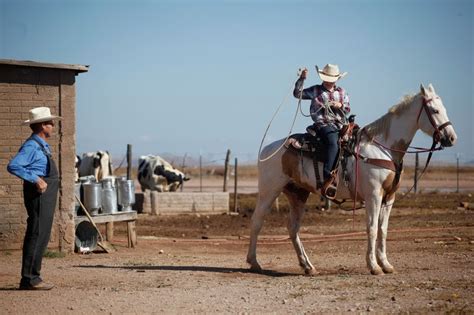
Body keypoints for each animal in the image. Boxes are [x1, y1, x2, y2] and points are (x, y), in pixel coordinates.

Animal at [246, 84, 458, 276]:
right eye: (435, 110)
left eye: (444, 108)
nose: (451, 138)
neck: (383, 149)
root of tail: (267, 149)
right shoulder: (373, 196)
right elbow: (372, 229)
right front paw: (373, 266)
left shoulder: (389, 197)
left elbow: (383, 230)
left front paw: (386, 264)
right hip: (269, 191)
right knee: (257, 221)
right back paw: (254, 262)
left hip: (298, 194)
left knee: (293, 228)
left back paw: (308, 266)